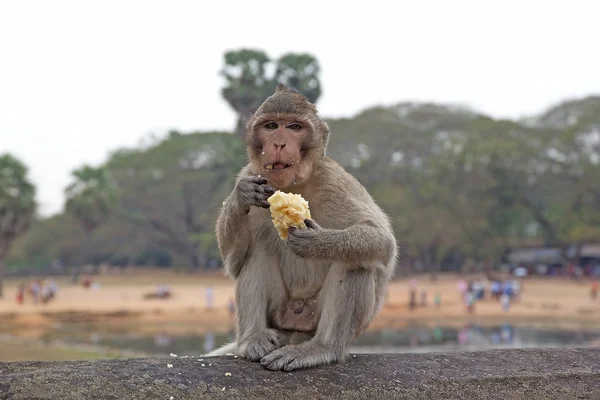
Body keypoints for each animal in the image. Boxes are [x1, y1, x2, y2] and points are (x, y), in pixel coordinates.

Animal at [206, 83, 398, 370]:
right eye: (272, 126)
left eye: (295, 127)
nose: (279, 143)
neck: (294, 185)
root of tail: (295, 327)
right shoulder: (250, 173)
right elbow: (234, 261)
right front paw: (242, 196)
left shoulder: (335, 181)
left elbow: (382, 241)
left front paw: (316, 242)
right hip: (280, 316)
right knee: (256, 251)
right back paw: (253, 339)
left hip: (317, 319)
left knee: (357, 262)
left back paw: (321, 348)